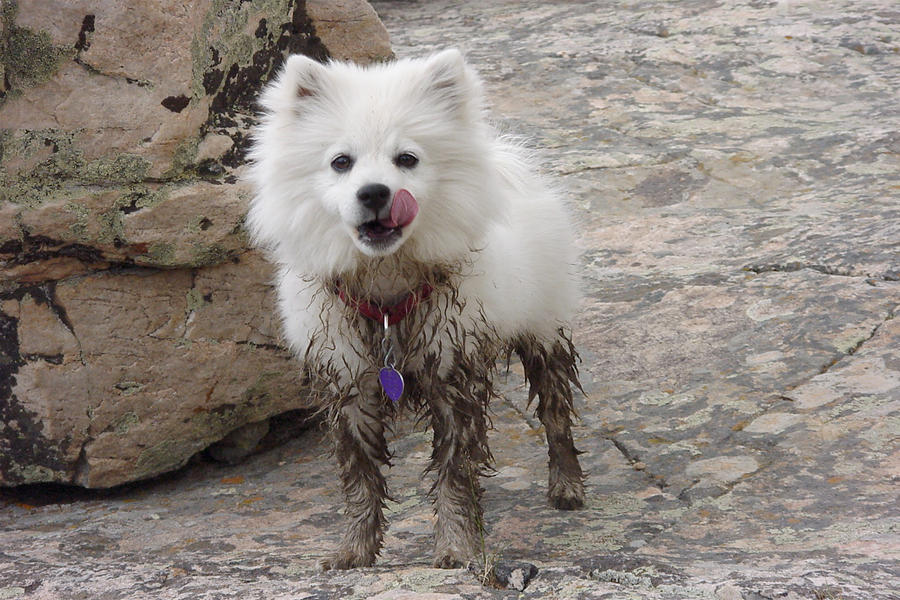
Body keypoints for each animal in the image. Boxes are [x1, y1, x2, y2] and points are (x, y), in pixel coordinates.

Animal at [246, 49, 584, 568]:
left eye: (407, 159)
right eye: (340, 162)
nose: (375, 192)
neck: (386, 294)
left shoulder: (452, 375)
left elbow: (454, 474)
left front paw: (457, 547)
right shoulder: (348, 382)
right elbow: (360, 478)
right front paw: (355, 551)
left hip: (544, 328)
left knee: (555, 411)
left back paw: (566, 485)